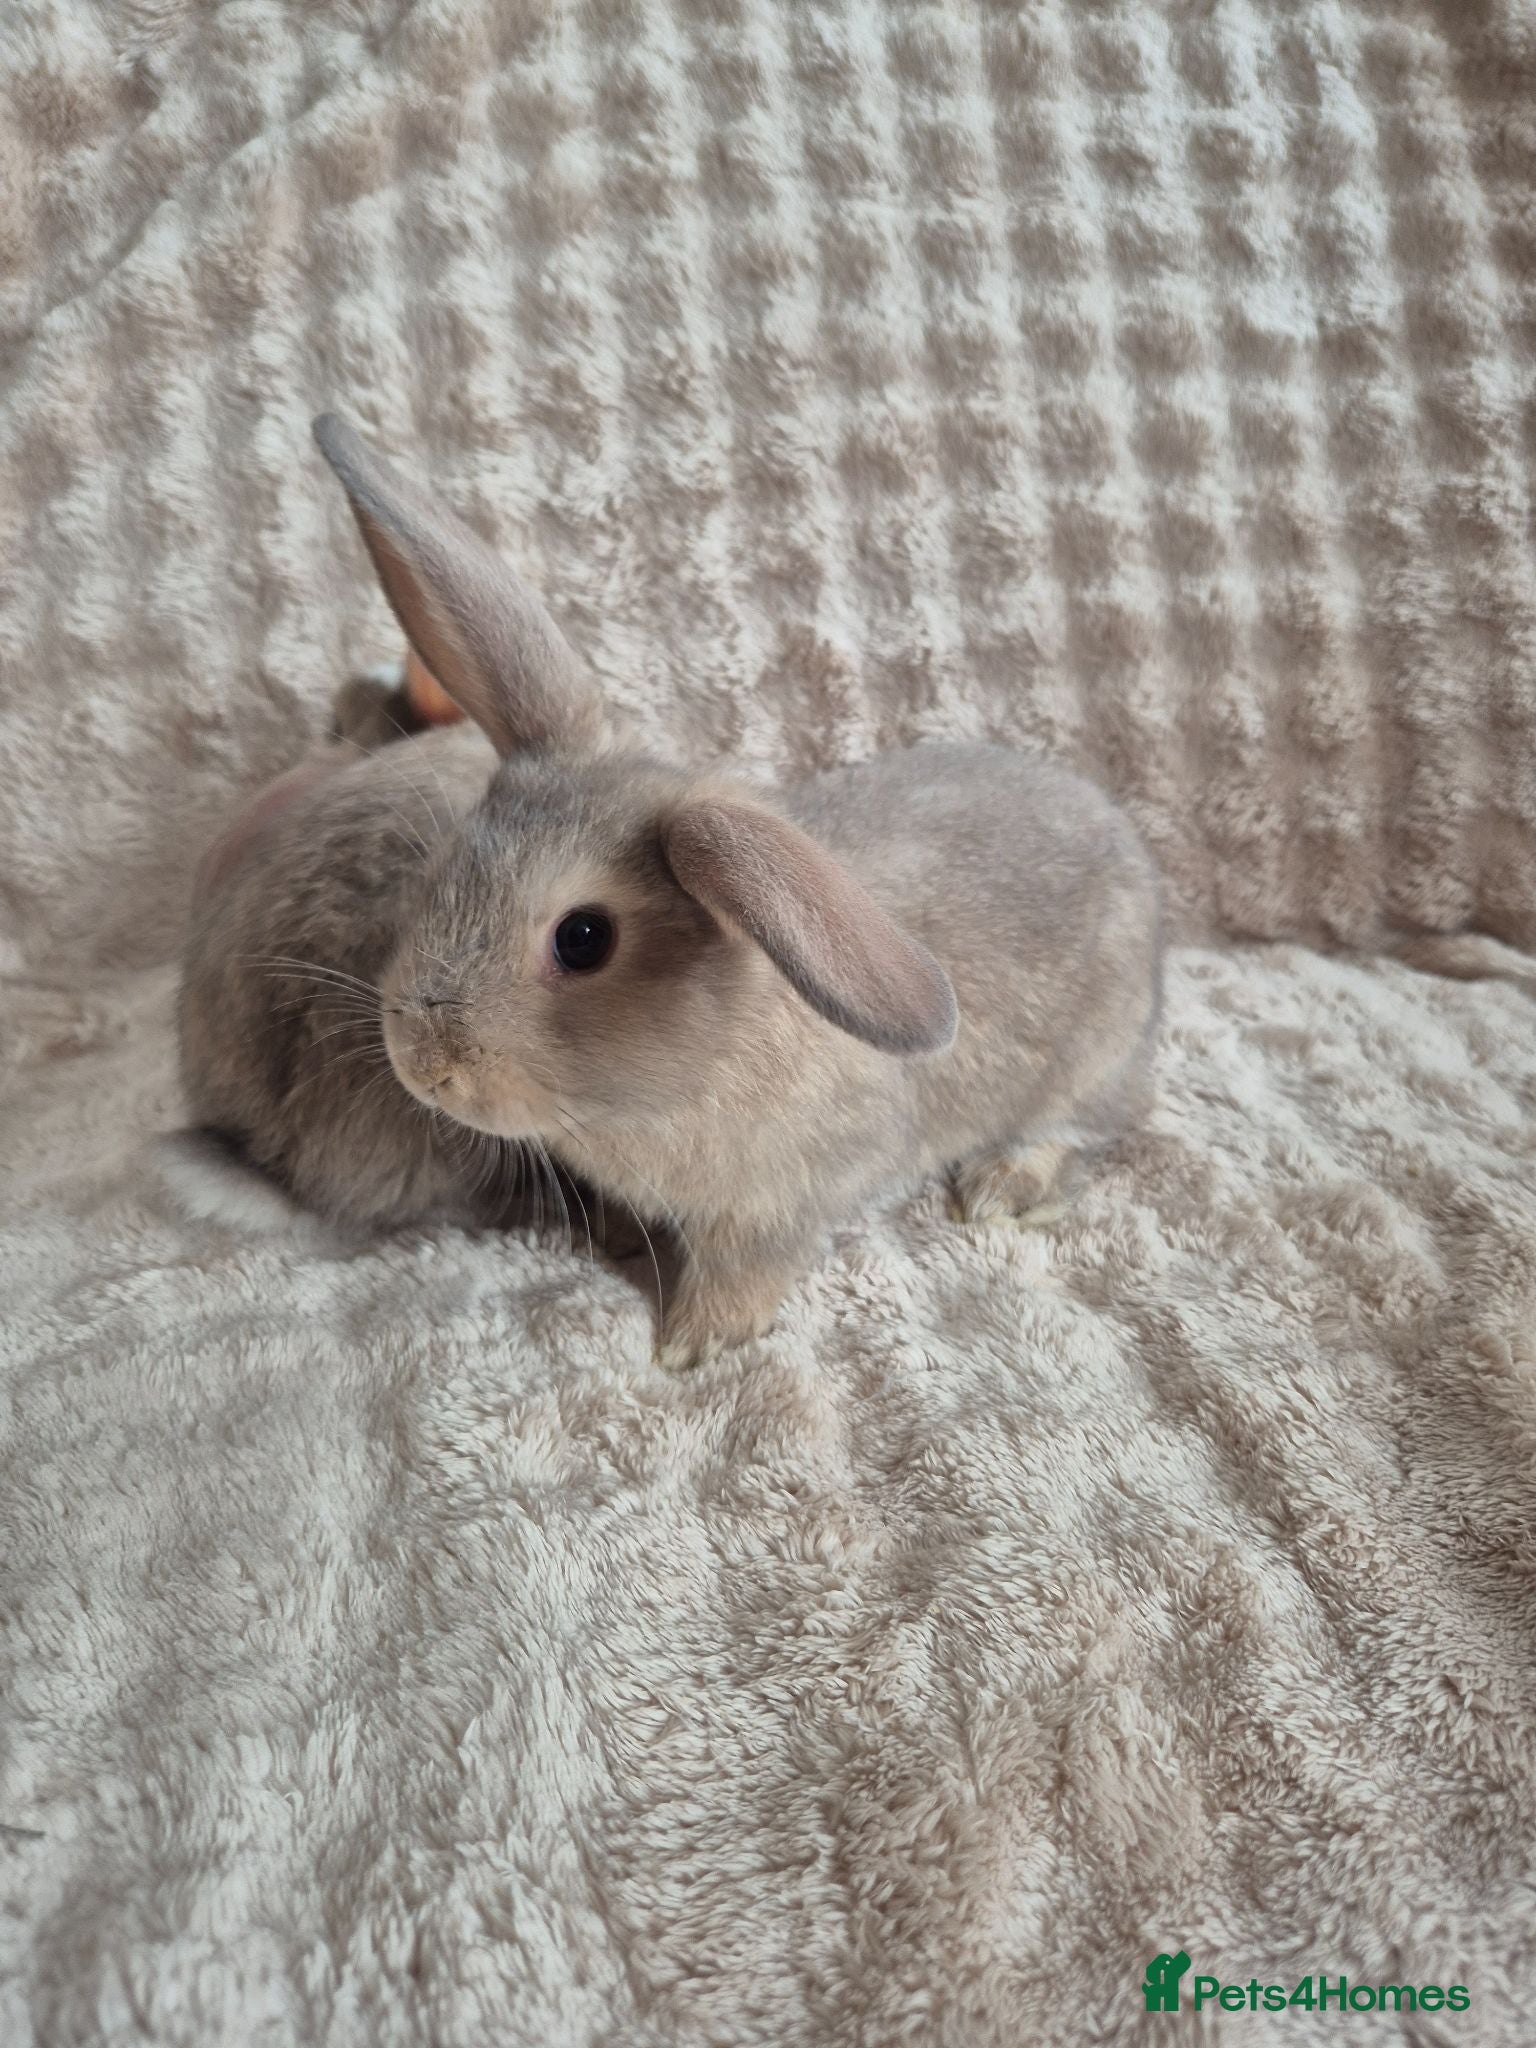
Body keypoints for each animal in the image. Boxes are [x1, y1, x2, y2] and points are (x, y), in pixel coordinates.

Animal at [202, 413, 1161, 1370]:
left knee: (1082, 1129)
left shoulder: (784, 1202)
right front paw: (623, 1241)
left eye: (583, 939)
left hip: (1084, 1069)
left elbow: (744, 1272)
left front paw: (690, 1348)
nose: (425, 1067)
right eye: (445, 867)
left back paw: (1000, 1185)